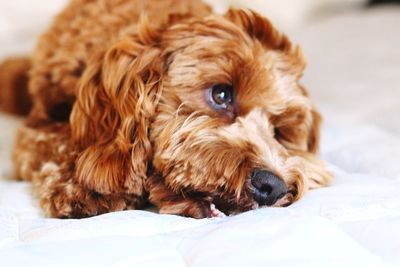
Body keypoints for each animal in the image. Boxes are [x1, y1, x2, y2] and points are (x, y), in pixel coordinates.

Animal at [0, 0, 332, 219]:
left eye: (279, 132)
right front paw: (82, 188)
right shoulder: (37, 125)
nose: (272, 185)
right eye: (221, 94)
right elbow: (51, 143)